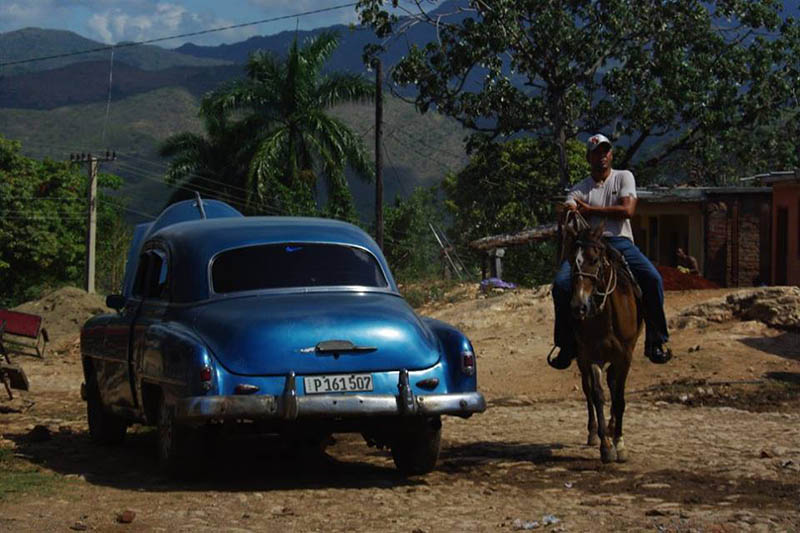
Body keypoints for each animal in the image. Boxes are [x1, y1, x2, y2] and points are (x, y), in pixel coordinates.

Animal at [564, 215, 644, 462]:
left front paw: (619, 442)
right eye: (572, 261)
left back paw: (610, 426)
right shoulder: (591, 355)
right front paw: (606, 446)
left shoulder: (625, 355)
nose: (578, 307)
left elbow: (619, 397)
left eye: (595, 259)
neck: (606, 314)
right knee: (588, 389)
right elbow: (598, 395)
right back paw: (594, 432)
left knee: (613, 384)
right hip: (582, 358)